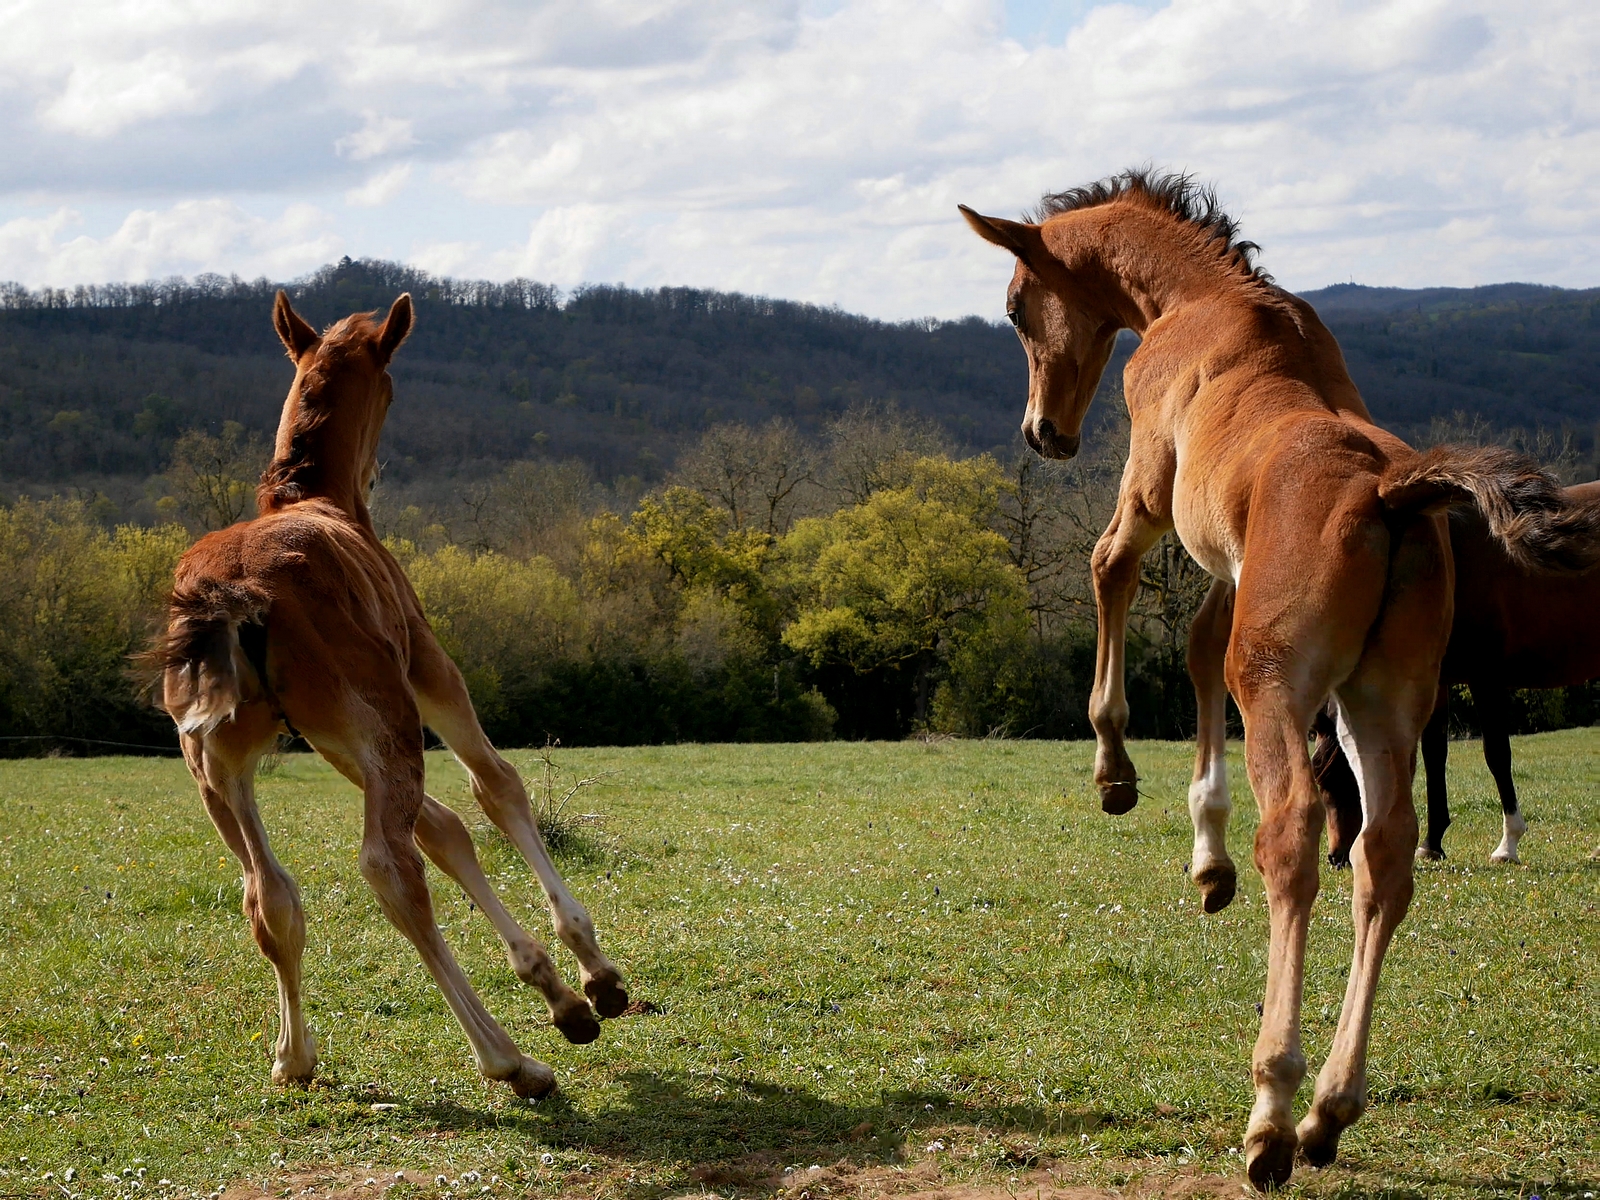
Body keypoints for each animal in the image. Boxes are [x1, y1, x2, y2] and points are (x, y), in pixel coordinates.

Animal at [146, 292, 628, 1099]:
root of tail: (230, 596)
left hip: (217, 762)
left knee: (269, 892)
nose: (379, 470)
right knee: (388, 868)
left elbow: (446, 829)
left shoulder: (340, 741)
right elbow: (495, 787)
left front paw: (557, 989)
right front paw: (593, 976)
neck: (318, 499)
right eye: (393, 387)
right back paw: (510, 1061)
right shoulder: (428, 671)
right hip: (388, 714)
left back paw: (294, 1058)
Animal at [960, 169, 1600, 1189]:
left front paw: (1115, 770)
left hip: (1281, 687)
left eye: (1018, 308)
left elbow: (1111, 570)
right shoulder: (1229, 565)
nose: (1043, 434)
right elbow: (1192, 646)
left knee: (1297, 836)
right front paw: (1205, 855)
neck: (1205, 303)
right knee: (1384, 855)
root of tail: (1391, 493)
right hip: (1381, 704)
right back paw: (1331, 1110)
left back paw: (1272, 1111)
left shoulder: (1152, 483)